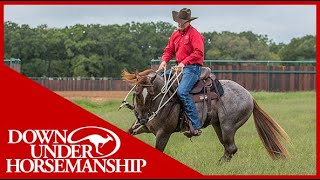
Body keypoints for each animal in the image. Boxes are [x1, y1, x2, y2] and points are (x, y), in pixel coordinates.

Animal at [120, 67, 290, 162]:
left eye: (151, 94)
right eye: (136, 92)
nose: (142, 118)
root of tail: (249, 95)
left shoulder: (163, 133)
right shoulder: (143, 127)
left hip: (228, 126)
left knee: (231, 148)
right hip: (218, 125)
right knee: (228, 149)